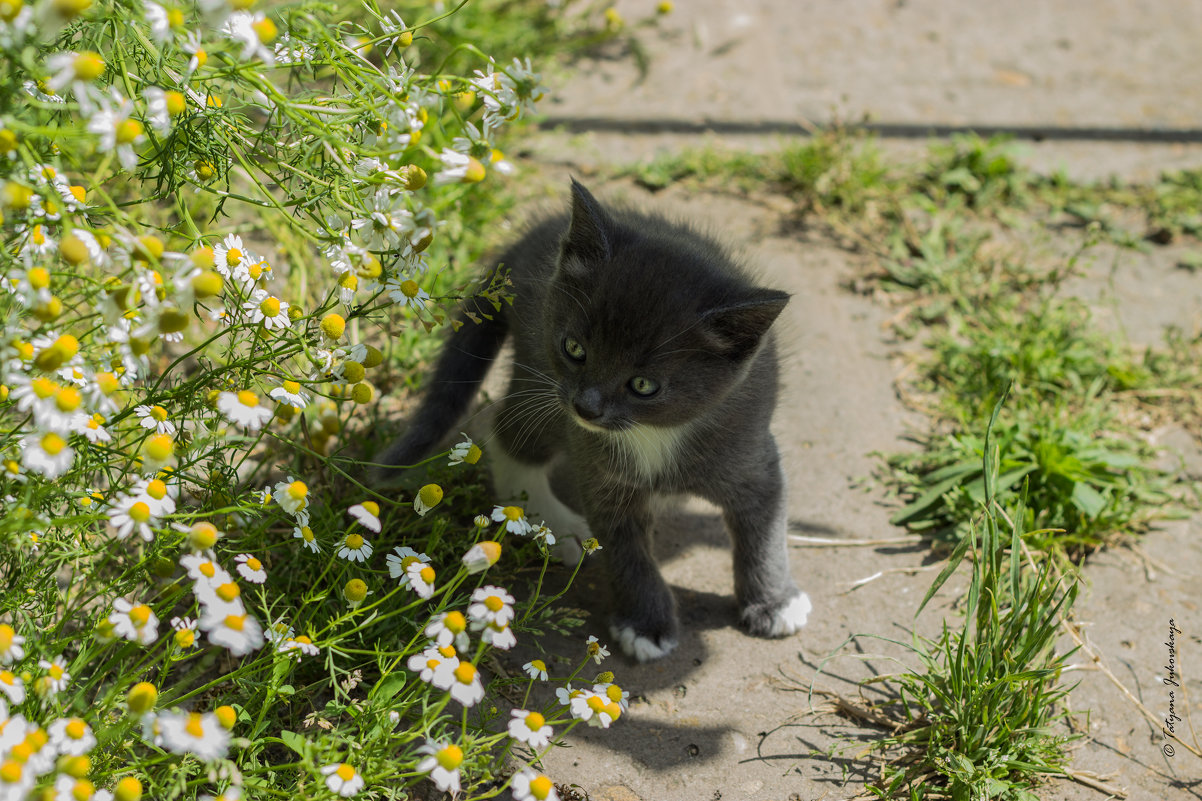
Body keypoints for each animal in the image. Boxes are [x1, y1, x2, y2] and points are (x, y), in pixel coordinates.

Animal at [379, 180, 812, 659]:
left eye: (643, 385)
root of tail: (528, 240)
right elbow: (626, 551)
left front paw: (774, 601)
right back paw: (554, 524)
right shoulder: (599, 468)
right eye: (575, 349)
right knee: (506, 432)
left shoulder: (751, 449)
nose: (586, 408)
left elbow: (765, 530)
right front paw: (645, 625)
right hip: (539, 380)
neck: (655, 434)